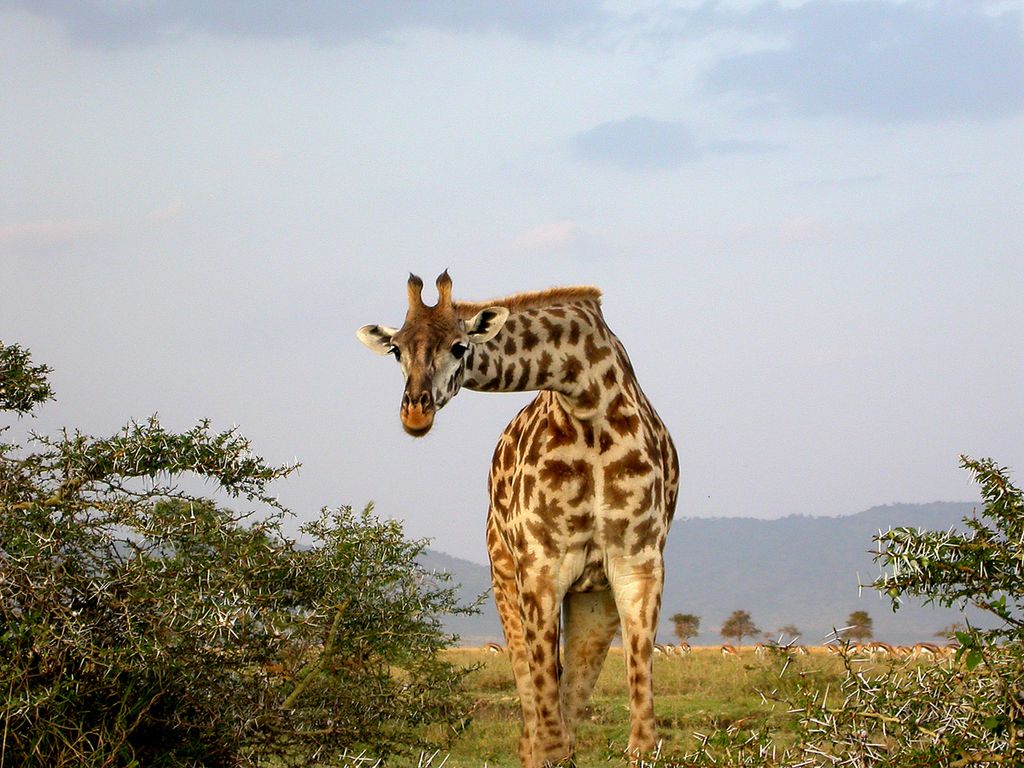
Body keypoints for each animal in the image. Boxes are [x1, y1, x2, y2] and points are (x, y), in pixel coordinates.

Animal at [356, 274, 675, 765]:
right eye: (396, 350)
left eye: (460, 347)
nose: (415, 412)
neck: (589, 402)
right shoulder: (540, 563)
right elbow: (547, 733)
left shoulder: (638, 561)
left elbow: (641, 738)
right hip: (504, 571)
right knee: (532, 722)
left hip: (593, 598)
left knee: (566, 707)